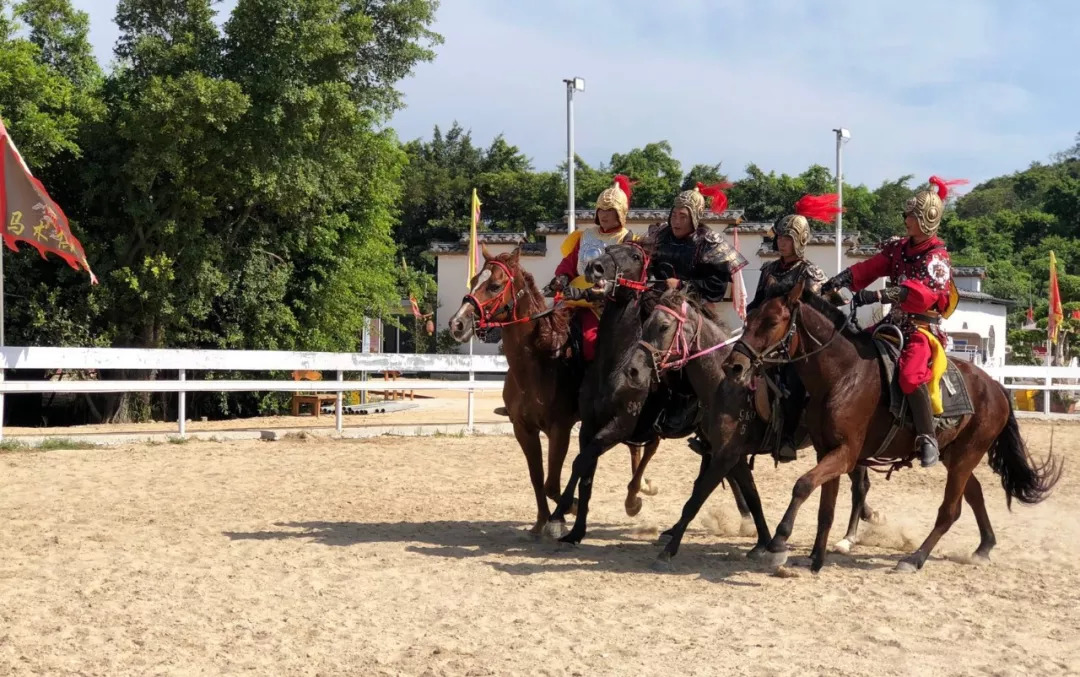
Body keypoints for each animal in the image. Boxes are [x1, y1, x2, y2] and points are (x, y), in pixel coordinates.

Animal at [447, 246, 656, 537]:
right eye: (475, 280)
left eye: (495, 285)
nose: (458, 324)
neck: (540, 359)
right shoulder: (523, 429)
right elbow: (537, 478)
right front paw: (541, 520)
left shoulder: (560, 429)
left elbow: (552, 483)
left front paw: (565, 513)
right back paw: (634, 495)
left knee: (642, 446)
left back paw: (637, 493)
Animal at [725, 278, 1062, 570]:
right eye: (748, 318)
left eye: (772, 322)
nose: (734, 366)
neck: (842, 375)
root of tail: (996, 387)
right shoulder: (828, 452)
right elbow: (825, 509)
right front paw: (816, 558)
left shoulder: (846, 454)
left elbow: (803, 485)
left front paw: (779, 541)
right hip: (955, 455)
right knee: (975, 493)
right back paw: (983, 547)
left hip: (967, 454)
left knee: (950, 511)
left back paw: (915, 558)